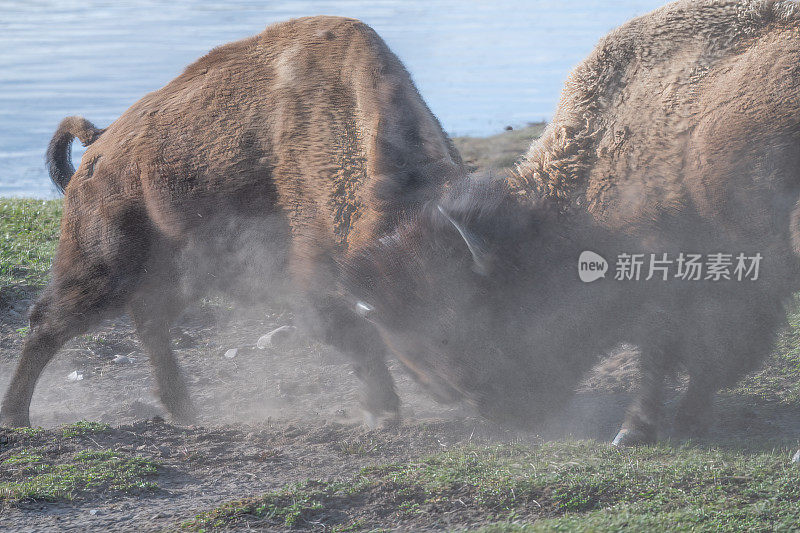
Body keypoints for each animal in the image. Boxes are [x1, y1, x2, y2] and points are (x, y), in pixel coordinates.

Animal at [0, 14, 466, 426]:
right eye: (402, 303)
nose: (461, 391)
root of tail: (98, 148)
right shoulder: (317, 275)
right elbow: (354, 338)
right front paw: (382, 412)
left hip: (181, 271)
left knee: (149, 322)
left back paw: (185, 412)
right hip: (105, 267)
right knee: (49, 320)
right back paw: (17, 417)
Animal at [344, 0, 800, 444]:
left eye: (463, 323)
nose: (503, 412)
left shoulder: (682, 282)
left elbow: (670, 354)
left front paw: (633, 431)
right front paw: (682, 422)